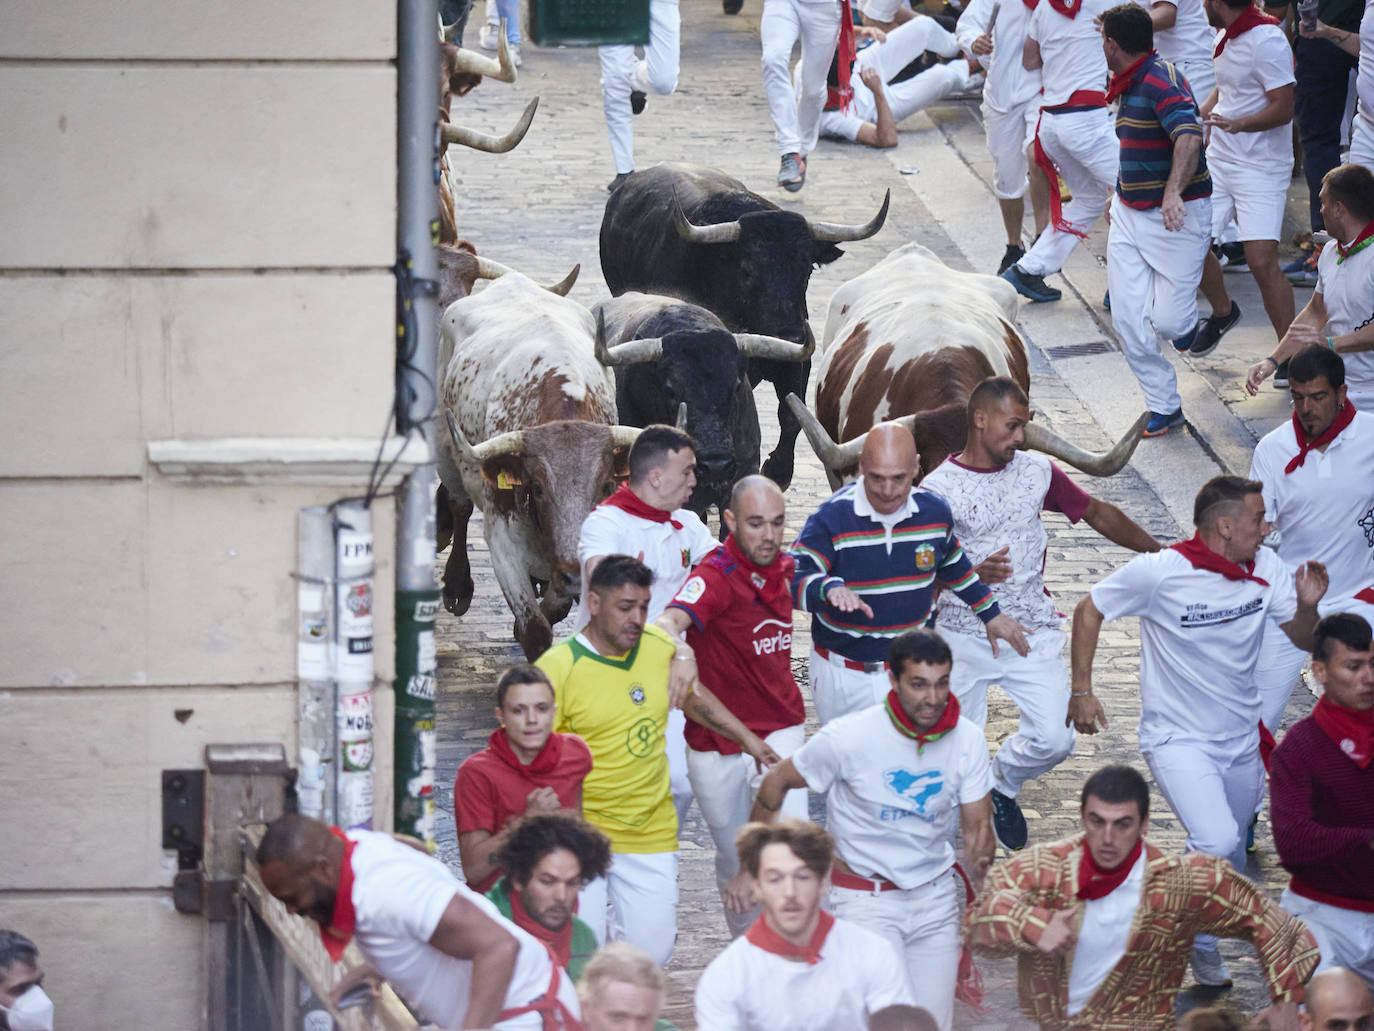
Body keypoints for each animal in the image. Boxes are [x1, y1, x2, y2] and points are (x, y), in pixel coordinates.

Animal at [436, 274, 640, 657]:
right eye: (540, 487)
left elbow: (555, 608)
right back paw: (457, 583)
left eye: (604, 486)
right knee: (459, 505)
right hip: (446, 453)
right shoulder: (502, 534)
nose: (574, 574)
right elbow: (536, 630)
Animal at [601, 164, 890, 492]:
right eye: (748, 270)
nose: (788, 335)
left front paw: (777, 470)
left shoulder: (796, 358)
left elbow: (791, 412)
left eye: (807, 270)